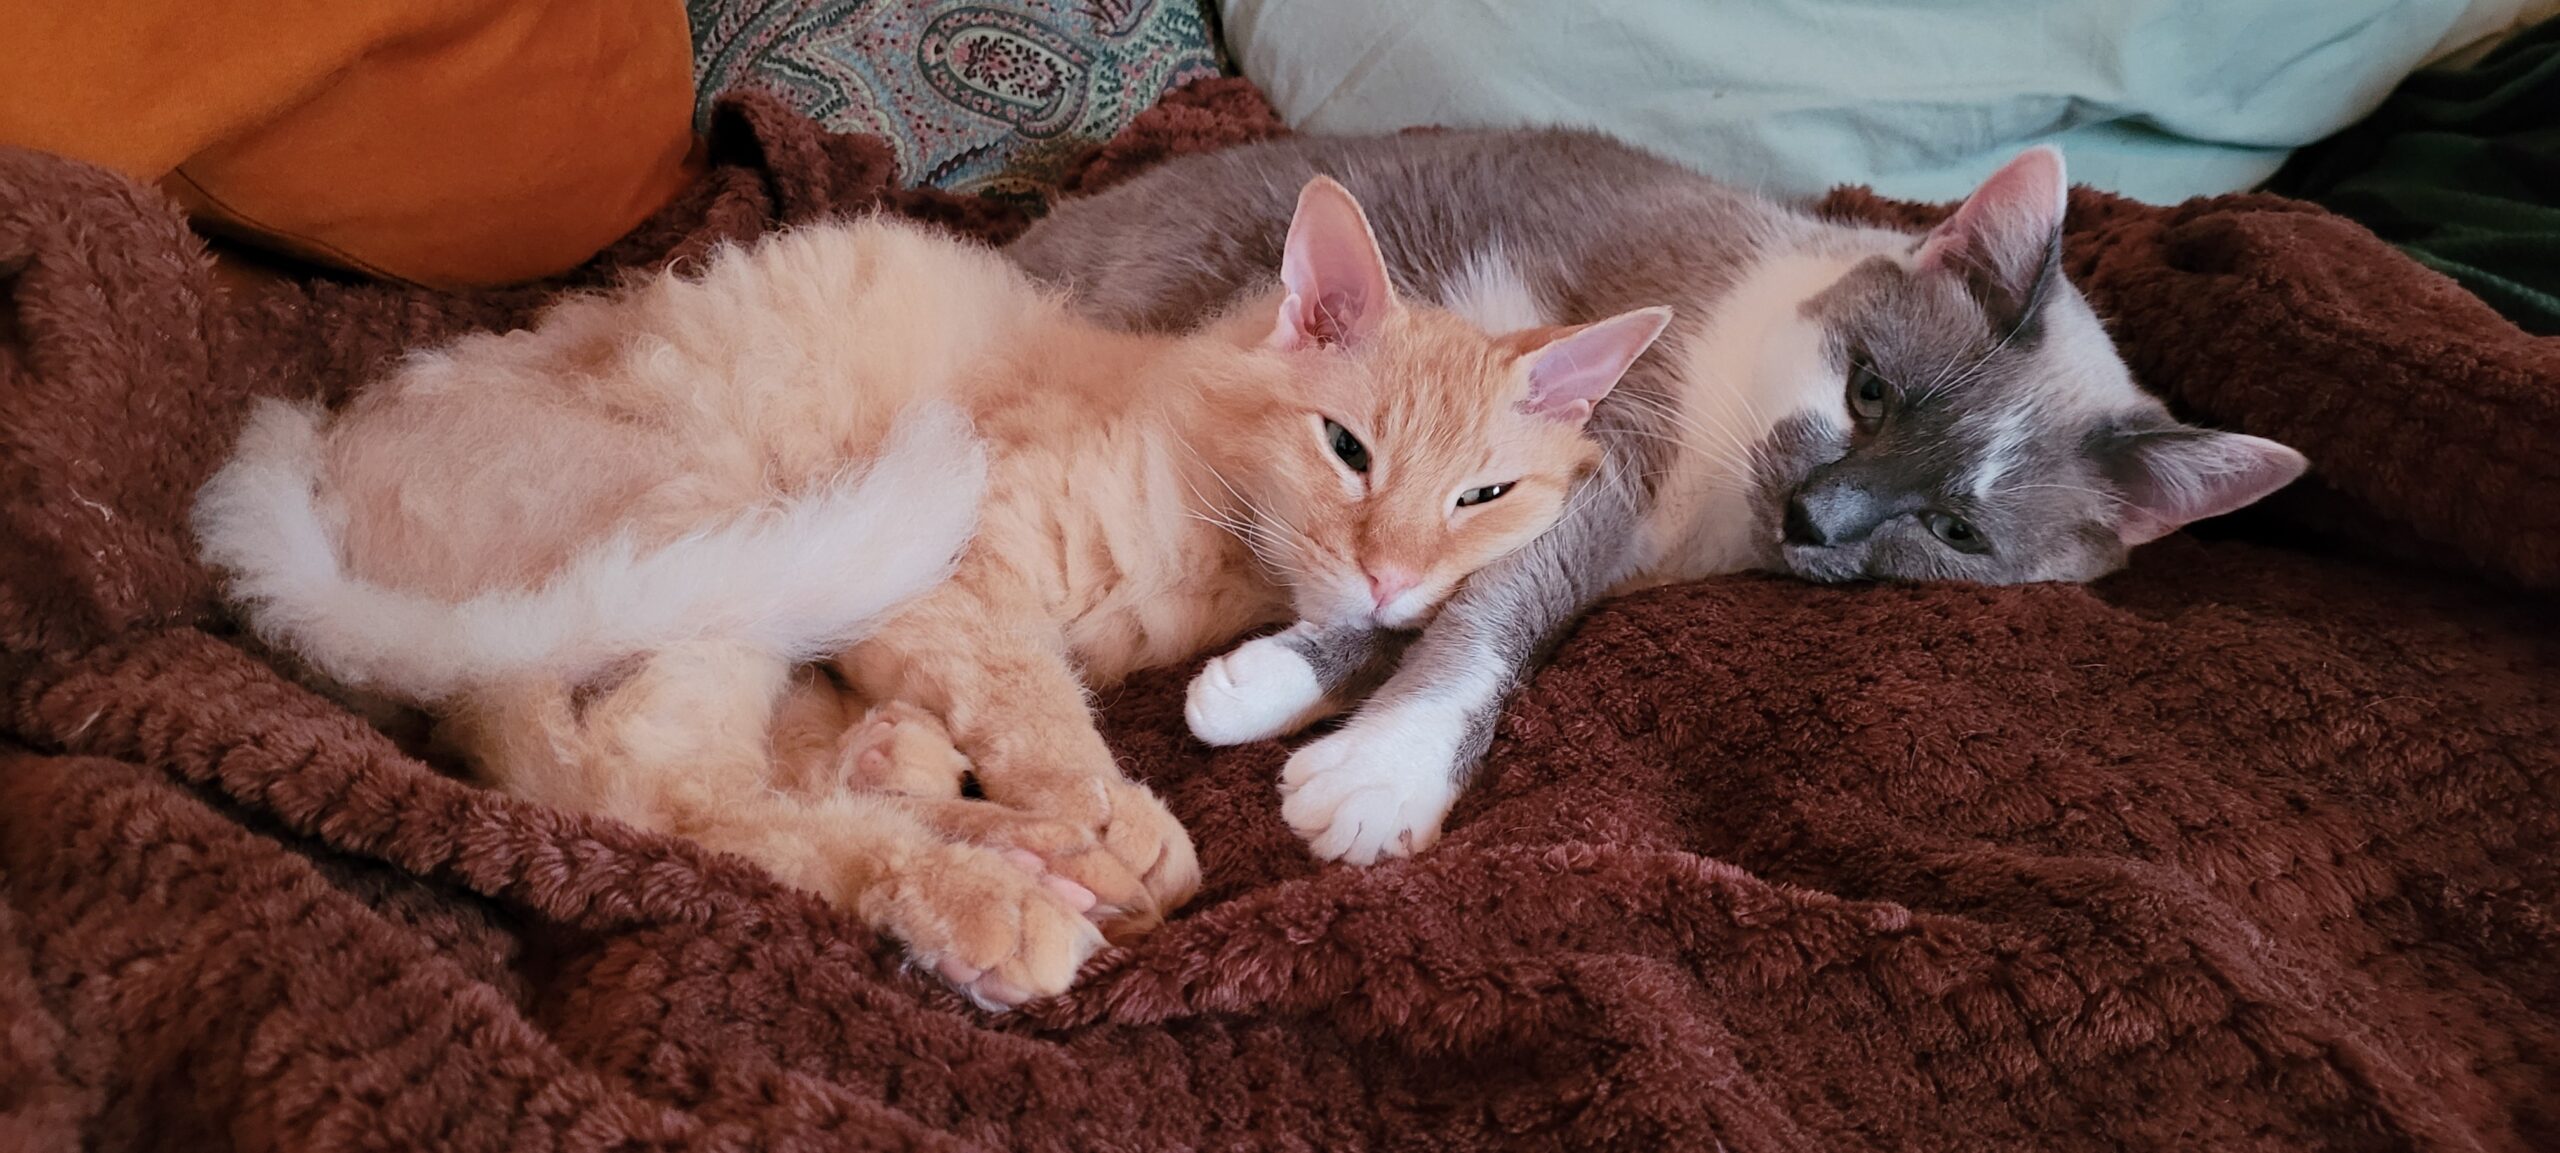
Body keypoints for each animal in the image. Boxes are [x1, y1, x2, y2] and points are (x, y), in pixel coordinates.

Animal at [204, 175, 1679, 1004]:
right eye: (1348, 448)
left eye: (1481, 498)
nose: (1390, 574)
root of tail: (319, 490)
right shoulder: (949, 578)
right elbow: (1036, 707)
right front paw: (1100, 809)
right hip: (720, 529)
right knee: (660, 796)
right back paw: (1010, 894)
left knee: (725, 781)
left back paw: (981, 830)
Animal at [1008, 126, 2314, 866]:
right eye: (1869, 392)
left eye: (1954, 531)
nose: (1816, 519)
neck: (1717, 507)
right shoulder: (1602, 465)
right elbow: (1481, 611)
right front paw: (1358, 747)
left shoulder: (1556, 517)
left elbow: (1437, 607)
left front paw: (1324, 724)